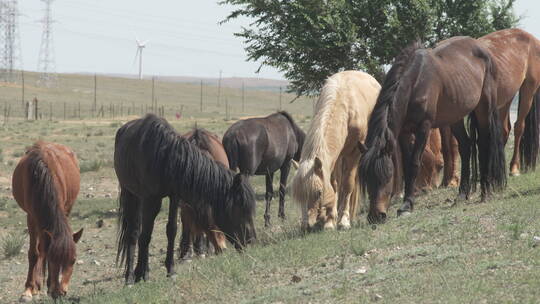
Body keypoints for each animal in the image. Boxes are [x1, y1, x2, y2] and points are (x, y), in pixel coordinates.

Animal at [11, 142, 83, 302]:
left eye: (74, 260)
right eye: (52, 259)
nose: (60, 292)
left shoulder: (63, 209)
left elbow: (43, 249)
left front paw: (47, 285)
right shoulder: (31, 218)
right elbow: (34, 253)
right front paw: (28, 289)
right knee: (40, 247)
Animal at [292, 69, 380, 230]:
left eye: (318, 193)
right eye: (298, 196)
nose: (306, 226)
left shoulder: (354, 153)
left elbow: (347, 184)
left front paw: (344, 220)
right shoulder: (333, 159)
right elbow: (334, 185)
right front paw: (330, 220)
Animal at [358, 36, 506, 224]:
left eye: (387, 176)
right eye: (366, 179)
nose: (375, 216)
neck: (415, 82)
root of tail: (483, 49)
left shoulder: (424, 127)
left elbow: (414, 163)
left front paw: (406, 206)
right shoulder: (404, 132)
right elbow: (407, 164)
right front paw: (409, 200)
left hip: (484, 109)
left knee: (484, 143)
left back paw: (485, 192)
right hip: (455, 116)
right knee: (465, 147)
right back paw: (461, 195)